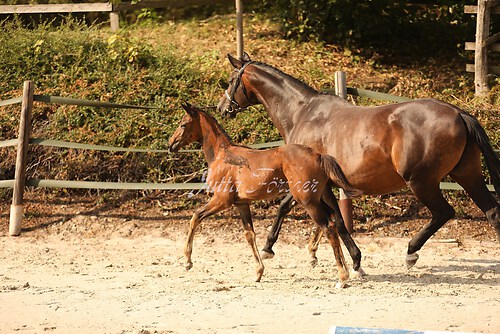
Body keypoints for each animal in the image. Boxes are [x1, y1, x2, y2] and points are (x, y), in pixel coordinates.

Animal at [170, 103, 362, 286]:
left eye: (183, 124)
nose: (170, 144)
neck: (222, 155)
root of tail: (318, 155)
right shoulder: (242, 204)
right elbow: (249, 234)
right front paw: (258, 272)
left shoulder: (222, 200)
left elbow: (195, 216)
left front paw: (187, 261)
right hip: (321, 196)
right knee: (334, 223)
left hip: (307, 201)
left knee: (328, 227)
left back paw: (342, 277)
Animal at [219, 52, 500, 268]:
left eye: (231, 80)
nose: (222, 108)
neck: (303, 113)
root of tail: (459, 112)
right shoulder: (317, 183)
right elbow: (300, 210)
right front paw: (308, 252)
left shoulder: (313, 182)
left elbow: (330, 218)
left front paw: (353, 261)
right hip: (468, 175)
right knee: (492, 212)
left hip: (421, 182)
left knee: (443, 213)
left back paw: (411, 253)